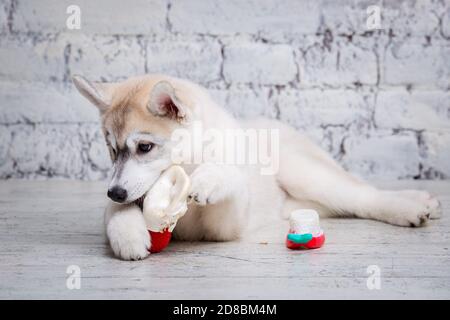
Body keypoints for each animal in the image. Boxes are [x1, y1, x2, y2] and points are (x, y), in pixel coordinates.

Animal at [72, 74, 442, 260]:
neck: (189, 163)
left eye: (145, 148)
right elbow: (114, 214)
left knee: (363, 195)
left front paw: (208, 180)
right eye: (111, 149)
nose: (115, 191)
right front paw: (128, 236)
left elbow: (230, 179)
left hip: (303, 173)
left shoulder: (226, 226)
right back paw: (424, 200)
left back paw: (410, 207)